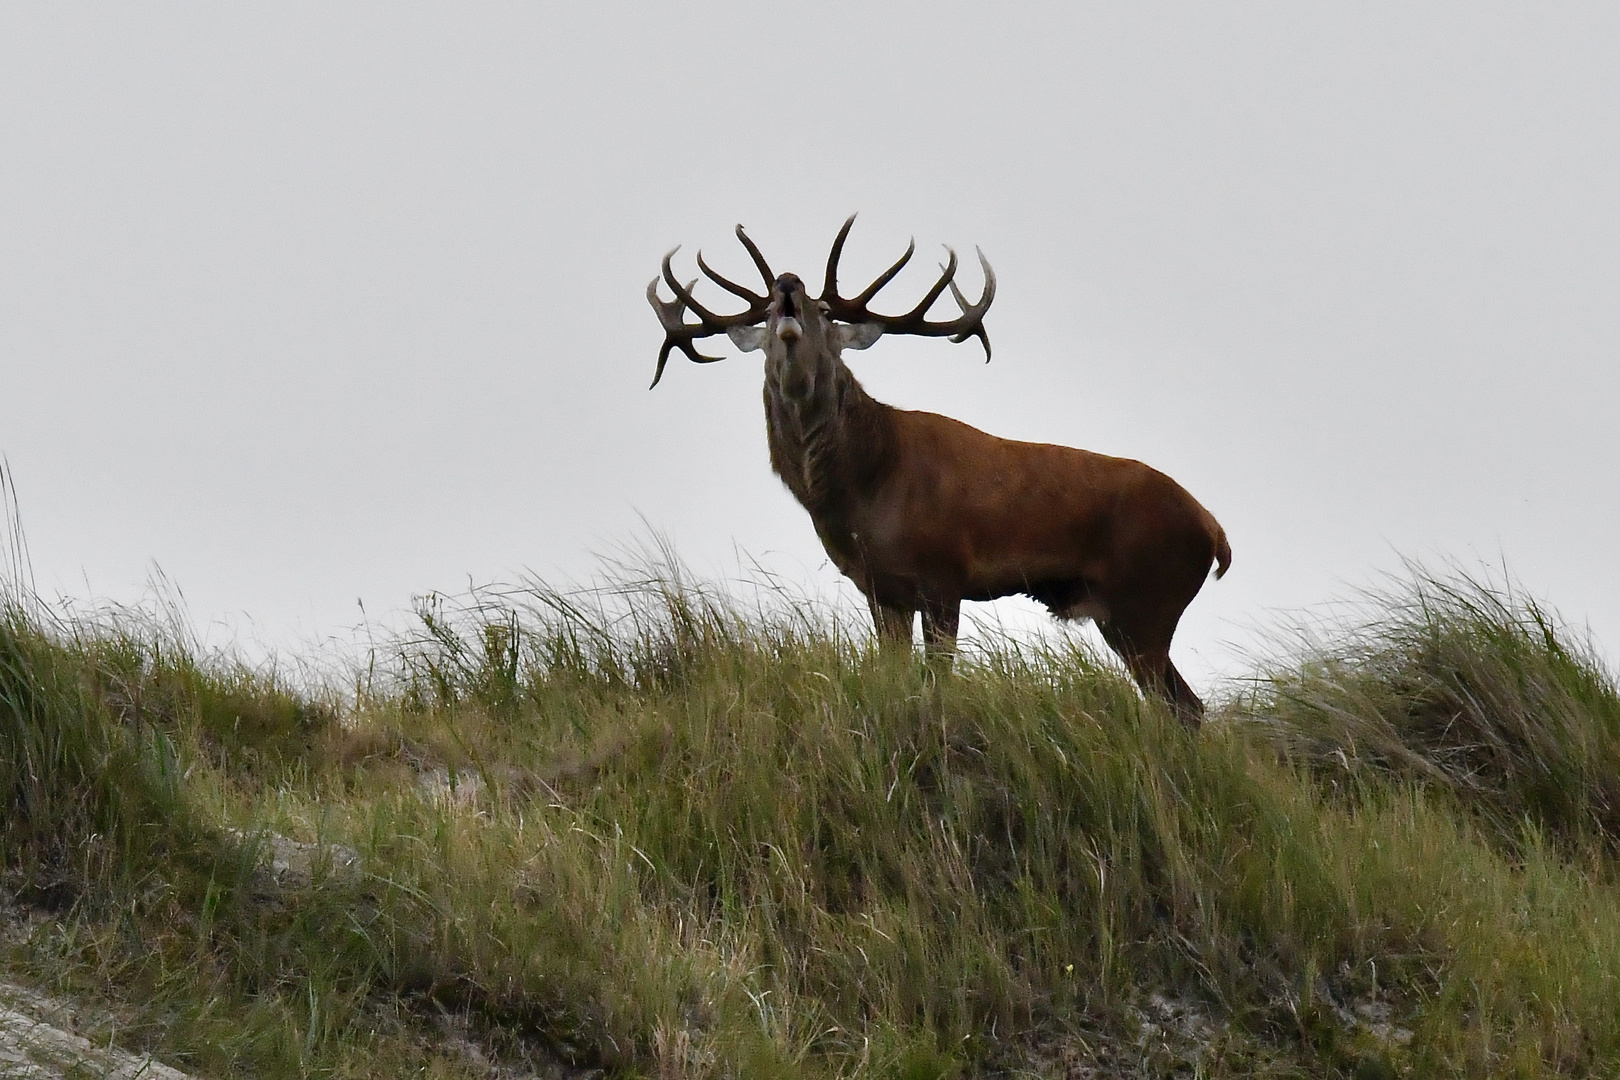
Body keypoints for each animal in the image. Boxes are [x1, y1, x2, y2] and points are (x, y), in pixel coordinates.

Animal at [644, 216, 1224, 725]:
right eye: (766, 311)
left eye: (824, 309)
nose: (788, 282)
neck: (869, 492)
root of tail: (1217, 534)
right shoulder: (882, 590)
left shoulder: (945, 574)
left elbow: (938, 681)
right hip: (1127, 614)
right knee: (1183, 706)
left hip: (1148, 600)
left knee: (1184, 707)